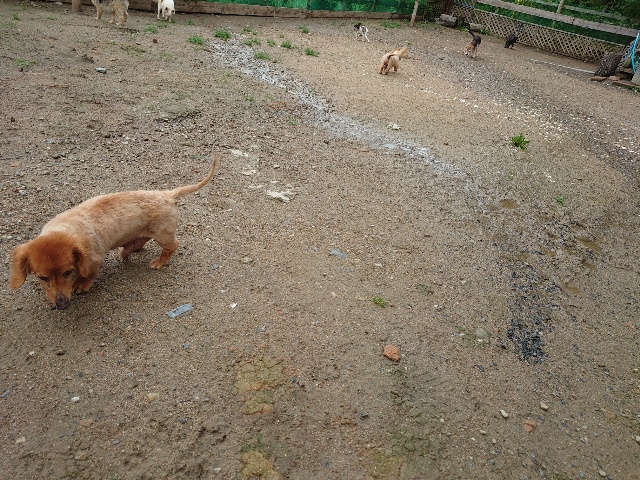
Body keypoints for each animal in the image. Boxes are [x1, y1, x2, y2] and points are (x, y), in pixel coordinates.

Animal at [9, 156, 219, 310]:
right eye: (42, 277)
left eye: (68, 272)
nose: (61, 306)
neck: (67, 231)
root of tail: (167, 195)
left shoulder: (93, 259)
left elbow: (89, 274)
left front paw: (82, 284)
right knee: (139, 242)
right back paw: (130, 250)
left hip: (163, 234)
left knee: (172, 246)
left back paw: (158, 262)